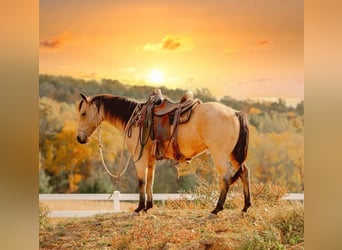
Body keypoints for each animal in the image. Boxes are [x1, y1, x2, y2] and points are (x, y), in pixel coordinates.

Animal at [77, 90, 251, 217]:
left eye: (83, 113)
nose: (79, 138)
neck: (135, 118)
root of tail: (235, 113)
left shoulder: (139, 158)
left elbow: (141, 181)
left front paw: (139, 208)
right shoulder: (150, 159)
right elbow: (150, 181)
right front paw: (148, 206)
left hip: (220, 154)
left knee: (226, 178)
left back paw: (217, 209)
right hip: (233, 155)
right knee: (244, 172)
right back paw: (246, 206)